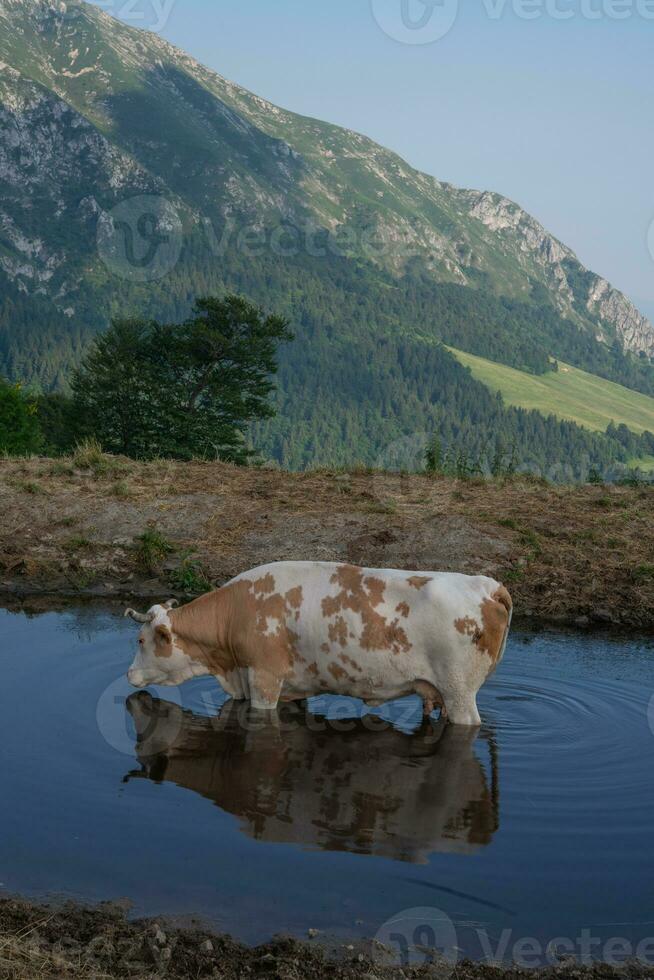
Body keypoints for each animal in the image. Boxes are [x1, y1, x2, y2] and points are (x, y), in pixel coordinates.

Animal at [125, 560, 516, 728]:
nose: (129, 674)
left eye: (141, 639)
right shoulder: (293, 686)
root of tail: (487, 585)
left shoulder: (264, 677)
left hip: (459, 691)